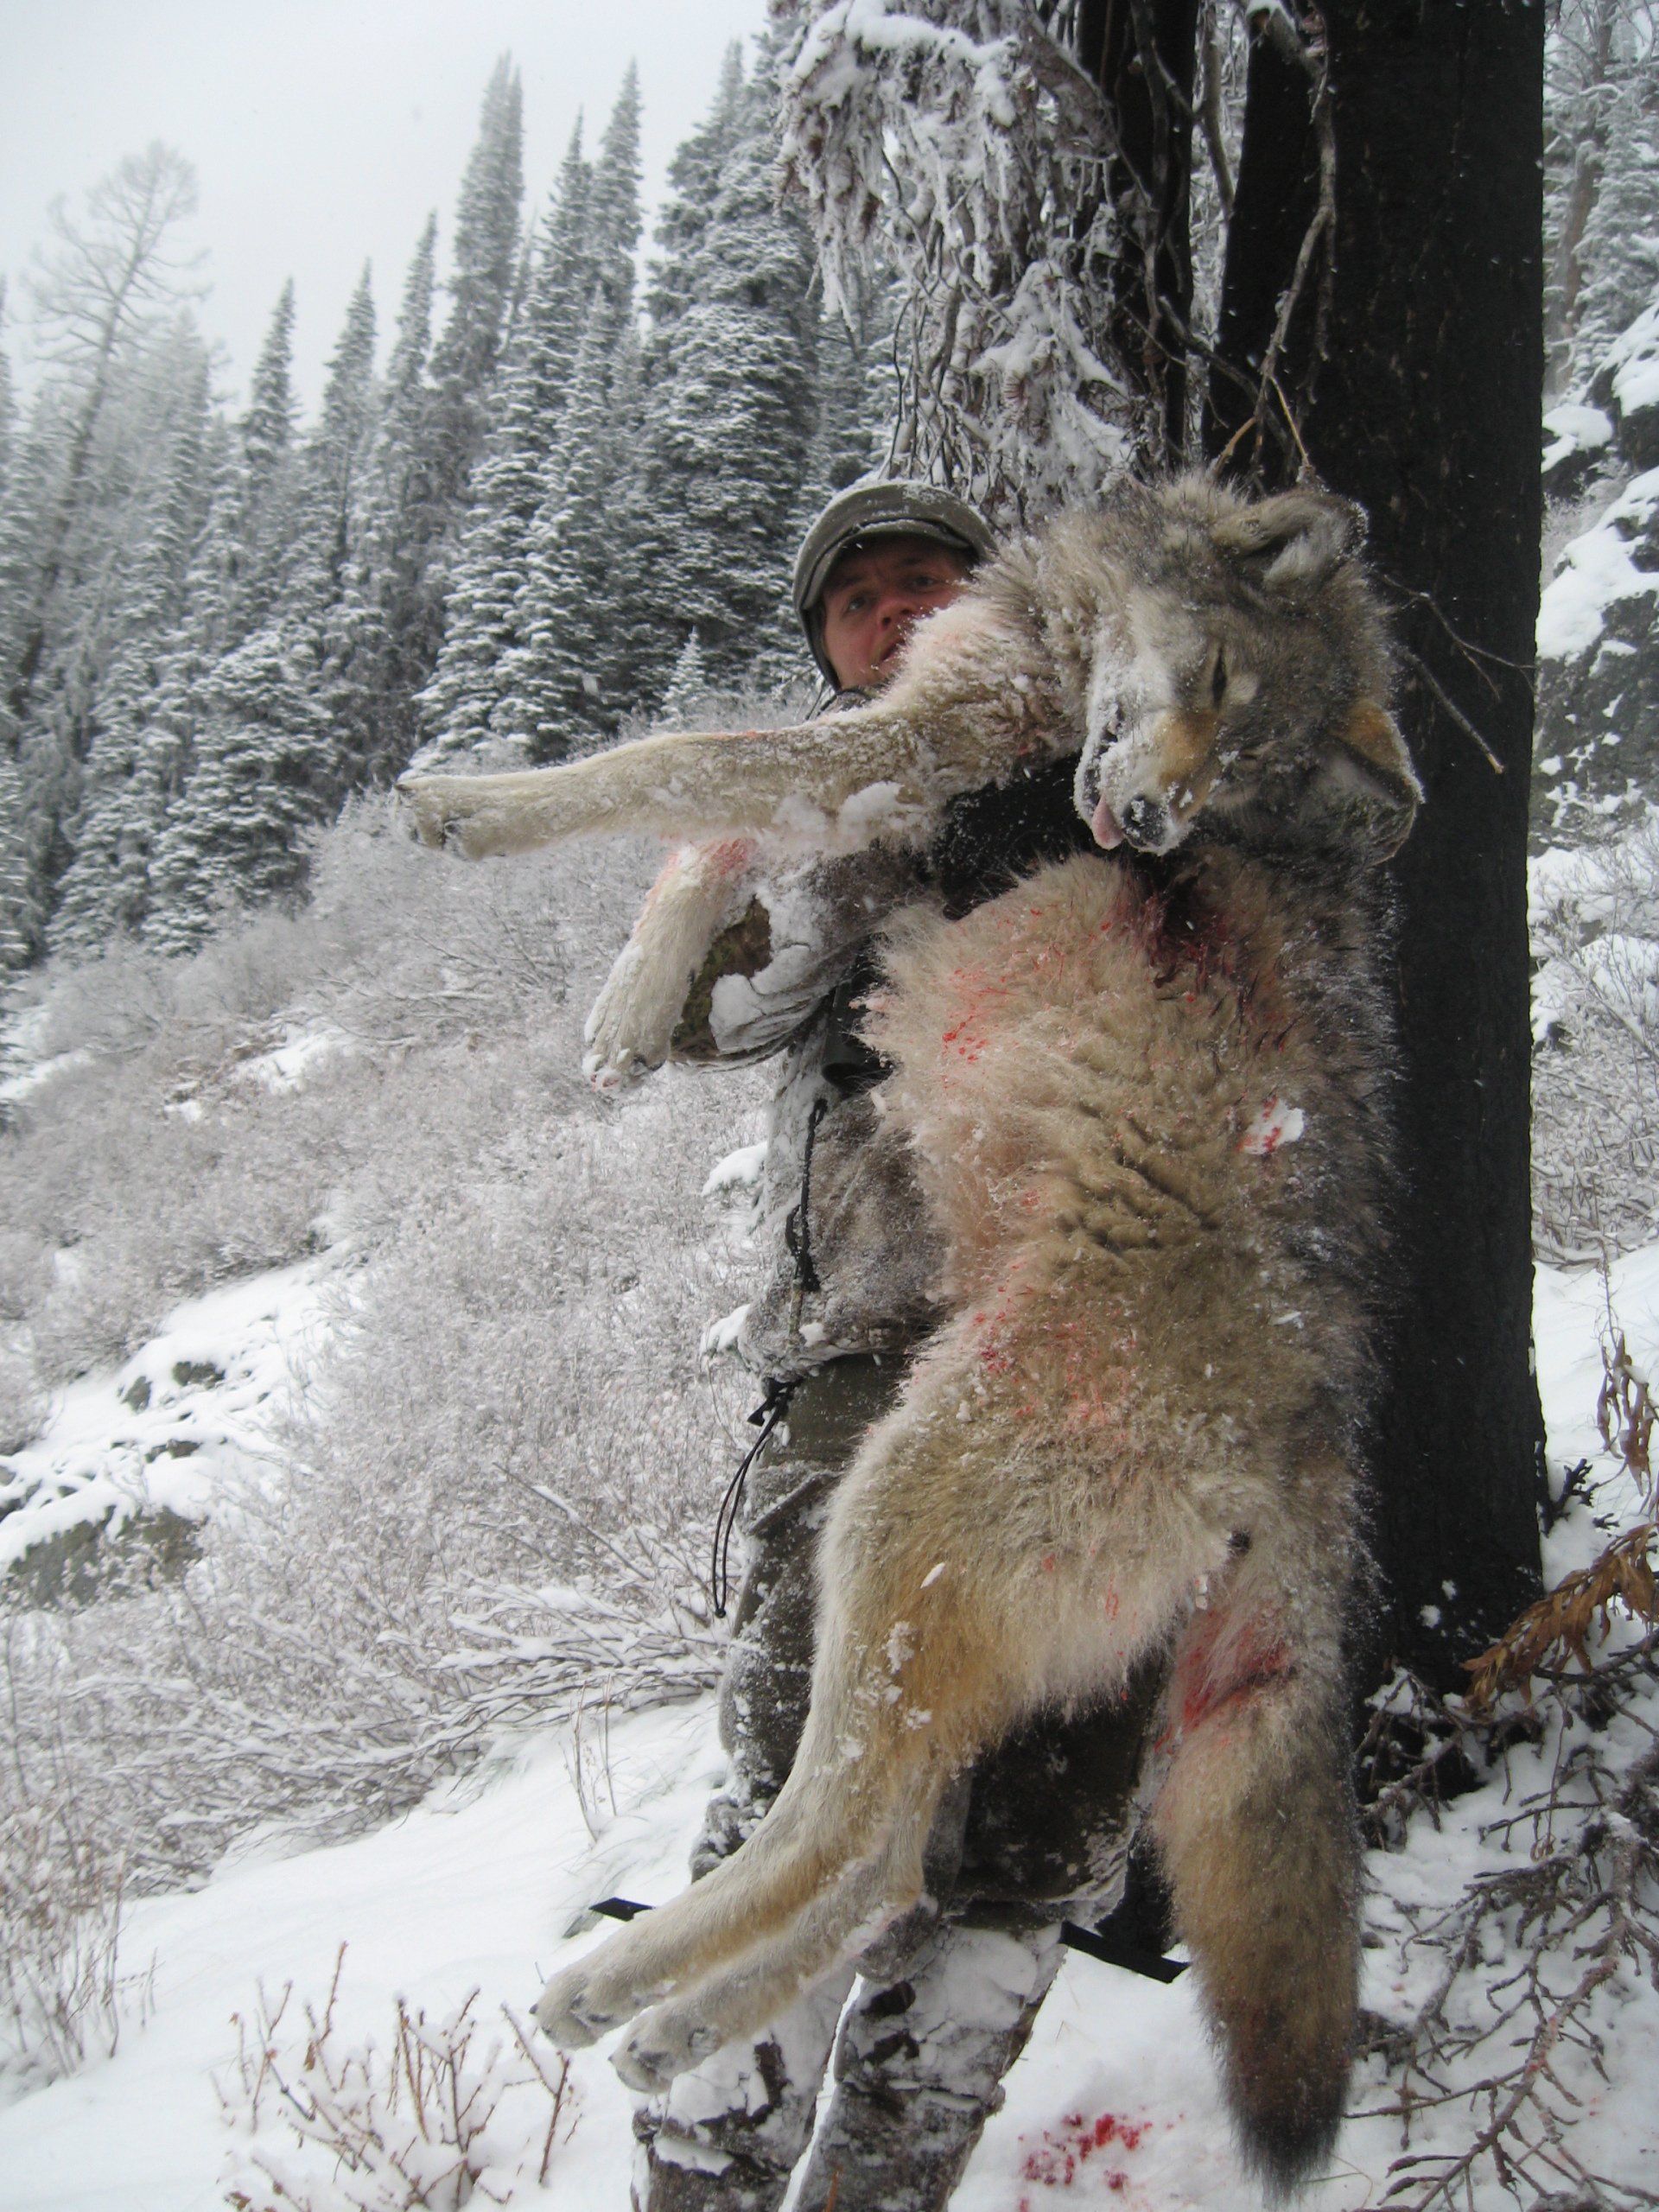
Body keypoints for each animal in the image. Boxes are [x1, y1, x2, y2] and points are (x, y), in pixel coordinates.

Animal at [399, 476, 1421, 2195]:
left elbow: (677, 766)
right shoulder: (879, 804)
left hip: (888, 1527)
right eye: (1216, 696)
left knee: (848, 1838)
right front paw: (631, 1006)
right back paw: (675, 2022)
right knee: (882, 1864)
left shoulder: (906, 753)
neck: (1055, 645)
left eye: (1246, 770)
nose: (1151, 833)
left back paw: (623, 1987)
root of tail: (1314, 1436)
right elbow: (713, 845)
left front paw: (474, 807)